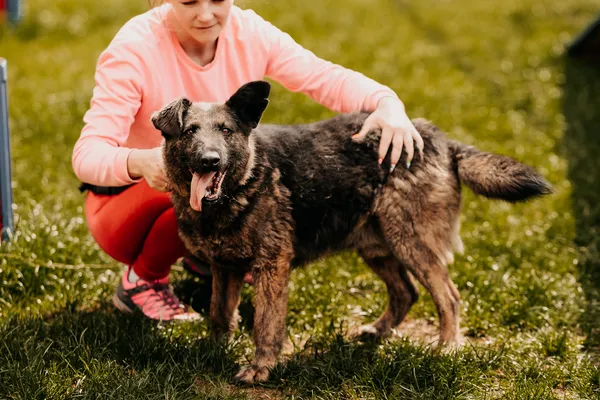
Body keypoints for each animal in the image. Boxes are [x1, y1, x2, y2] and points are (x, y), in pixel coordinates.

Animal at [151, 79, 552, 382]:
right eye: (189, 131)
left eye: (226, 131)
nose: (210, 161)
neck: (242, 185)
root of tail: (438, 138)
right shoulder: (225, 267)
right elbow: (220, 313)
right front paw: (214, 351)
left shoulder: (271, 268)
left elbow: (266, 324)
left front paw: (260, 369)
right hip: (378, 248)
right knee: (406, 292)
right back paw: (379, 331)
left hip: (412, 243)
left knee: (448, 298)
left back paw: (447, 348)